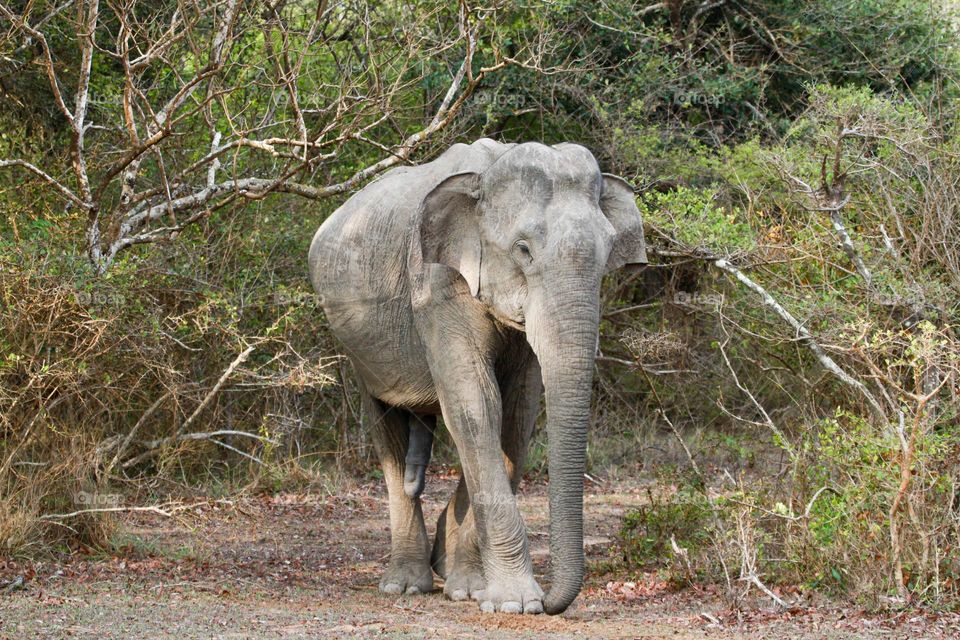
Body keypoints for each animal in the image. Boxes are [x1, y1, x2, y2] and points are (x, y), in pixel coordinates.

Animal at [308, 138, 647, 615]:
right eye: (523, 249)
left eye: (609, 251)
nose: (551, 603)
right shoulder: (435, 285)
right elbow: (476, 403)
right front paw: (515, 603)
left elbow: (516, 413)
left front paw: (472, 589)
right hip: (359, 348)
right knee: (386, 428)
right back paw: (405, 584)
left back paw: (441, 564)